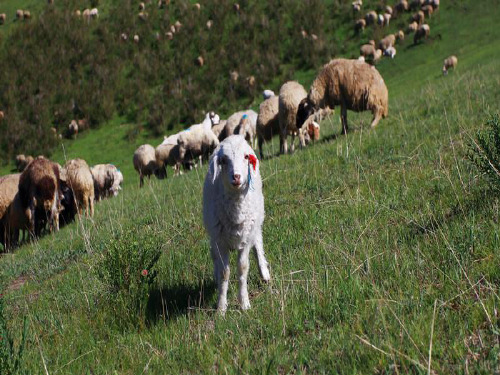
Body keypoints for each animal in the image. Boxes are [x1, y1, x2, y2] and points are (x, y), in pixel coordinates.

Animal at [203, 135, 272, 314]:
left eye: (246, 157)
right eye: (223, 160)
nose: (236, 177)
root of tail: (234, 136)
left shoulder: (246, 239)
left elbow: (243, 268)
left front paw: (244, 303)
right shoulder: (220, 241)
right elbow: (224, 273)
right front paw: (221, 308)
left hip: (256, 222)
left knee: (258, 244)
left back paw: (264, 273)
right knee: (214, 256)